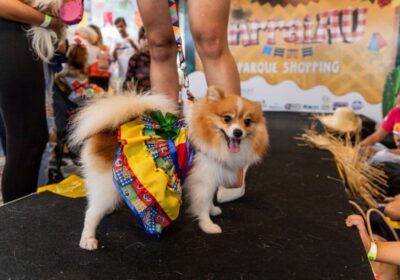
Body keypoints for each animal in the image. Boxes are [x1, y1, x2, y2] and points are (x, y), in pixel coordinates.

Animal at [69, 86, 268, 250]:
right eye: (227, 118)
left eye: (247, 122)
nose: (238, 132)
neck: (212, 138)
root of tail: (108, 130)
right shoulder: (203, 181)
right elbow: (202, 205)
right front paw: (208, 225)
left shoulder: (210, 180)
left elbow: (209, 200)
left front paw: (213, 209)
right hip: (106, 183)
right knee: (91, 213)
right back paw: (88, 240)